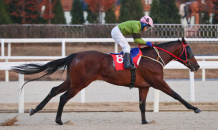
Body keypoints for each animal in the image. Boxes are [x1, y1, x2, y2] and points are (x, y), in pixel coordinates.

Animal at [12, 37, 201, 124]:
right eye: (190, 51)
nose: (197, 66)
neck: (153, 58)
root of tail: (75, 55)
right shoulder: (158, 82)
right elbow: (177, 95)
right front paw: (195, 108)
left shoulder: (144, 86)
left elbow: (142, 105)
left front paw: (145, 121)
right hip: (80, 83)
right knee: (63, 97)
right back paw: (59, 121)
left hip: (72, 81)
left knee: (54, 91)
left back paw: (35, 109)